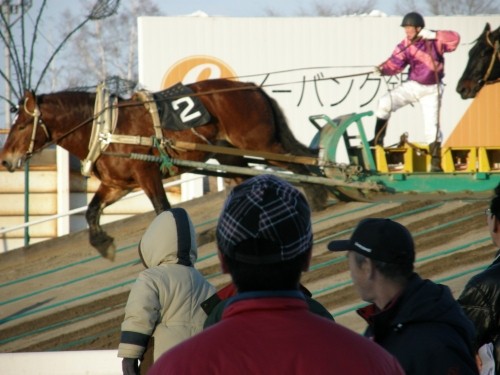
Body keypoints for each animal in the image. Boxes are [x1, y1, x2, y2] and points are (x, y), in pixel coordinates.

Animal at [0, 78, 324, 262]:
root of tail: (251, 88)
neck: (107, 129)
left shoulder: (147, 174)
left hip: (259, 143)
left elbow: (162, 209)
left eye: (22, 124)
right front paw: (103, 244)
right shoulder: (117, 185)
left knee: (298, 162)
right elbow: (91, 212)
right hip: (230, 154)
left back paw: (319, 195)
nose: (5, 160)